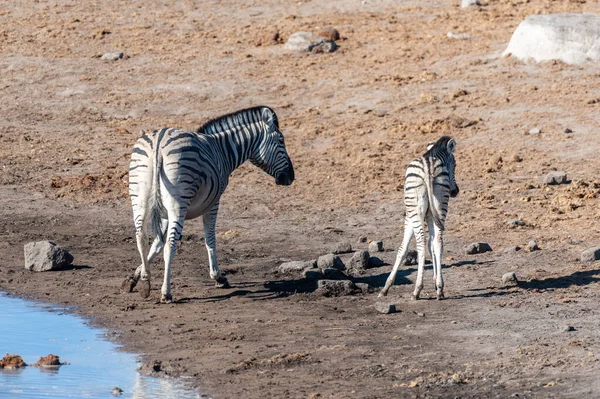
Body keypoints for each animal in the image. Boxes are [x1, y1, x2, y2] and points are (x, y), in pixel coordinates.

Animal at [123, 106, 296, 304]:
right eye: (281, 141)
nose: (291, 177)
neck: (221, 151)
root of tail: (158, 142)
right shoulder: (213, 202)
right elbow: (209, 238)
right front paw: (218, 277)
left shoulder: (163, 212)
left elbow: (156, 244)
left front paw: (138, 277)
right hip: (178, 204)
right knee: (170, 245)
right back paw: (166, 293)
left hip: (139, 199)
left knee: (141, 237)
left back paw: (146, 284)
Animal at [380, 137, 460, 300]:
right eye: (454, 165)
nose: (456, 191)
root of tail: (428, 167)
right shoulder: (430, 215)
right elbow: (432, 246)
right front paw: (437, 282)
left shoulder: (409, 217)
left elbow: (402, 249)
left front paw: (386, 287)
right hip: (440, 205)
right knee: (438, 242)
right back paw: (440, 290)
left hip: (415, 209)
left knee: (421, 244)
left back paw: (417, 290)